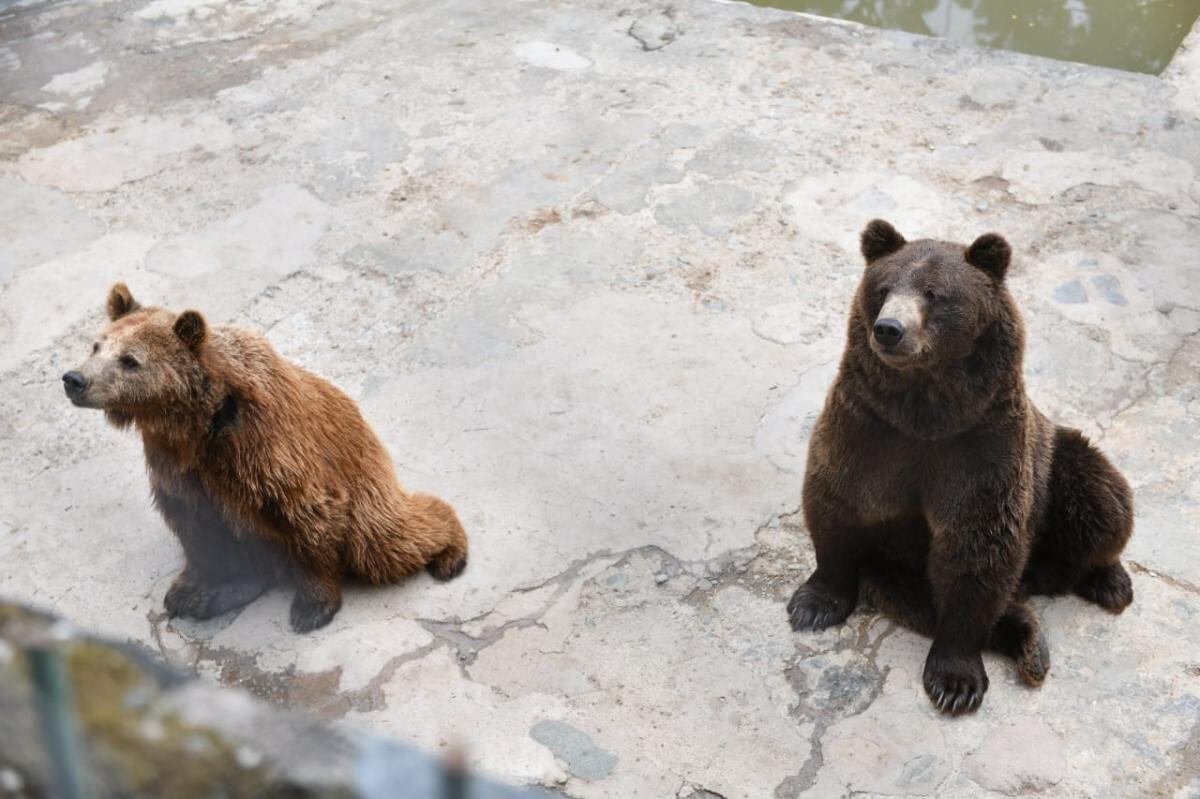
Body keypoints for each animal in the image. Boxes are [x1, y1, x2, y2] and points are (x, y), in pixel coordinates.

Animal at [62, 283, 468, 633]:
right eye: (96, 346)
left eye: (130, 360)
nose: (75, 379)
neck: (198, 423)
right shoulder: (176, 466)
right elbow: (195, 526)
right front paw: (189, 591)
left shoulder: (265, 448)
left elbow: (304, 514)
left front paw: (312, 607)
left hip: (365, 488)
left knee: (384, 539)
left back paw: (450, 551)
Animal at [792, 220, 1128, 710]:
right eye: (883, 288)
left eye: (934, 294)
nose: (889, 328)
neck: (926, 411)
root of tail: (1039, 578)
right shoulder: (868, 428)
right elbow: (837, 504)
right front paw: (813, 604)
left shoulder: (981, 443)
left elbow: (976, 546)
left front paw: (955, 683)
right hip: (895, 569)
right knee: (919, 598)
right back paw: (1030, 643)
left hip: (1058, 461)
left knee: (1103, 499)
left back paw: (1109, 581)